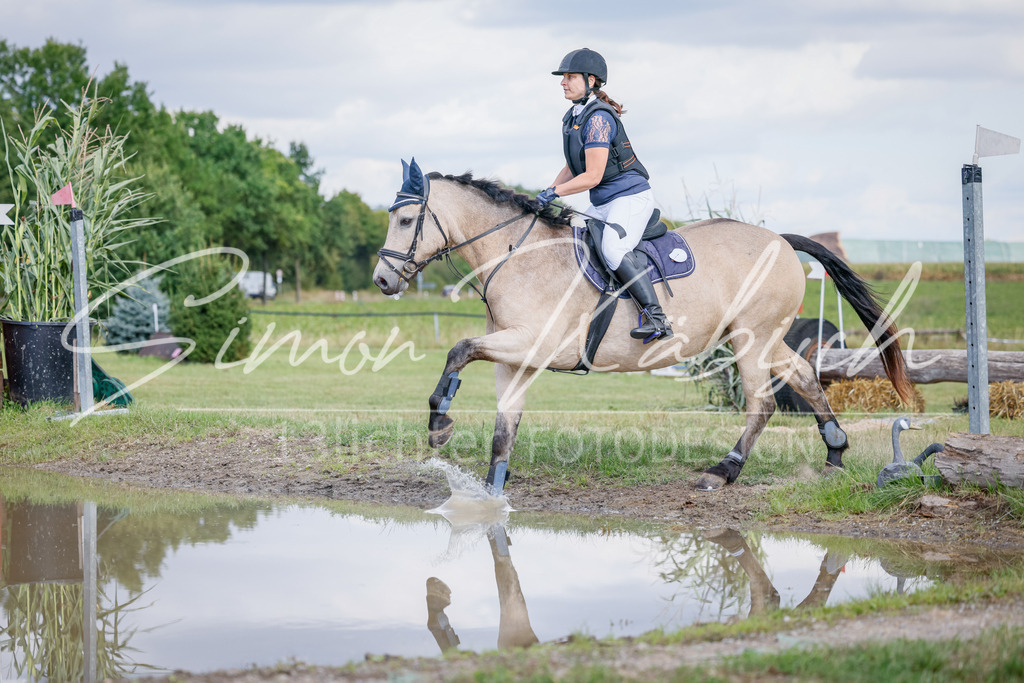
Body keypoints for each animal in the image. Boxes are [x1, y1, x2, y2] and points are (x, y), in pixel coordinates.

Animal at [373, 160, 914, 493]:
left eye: (406, 221)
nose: (381, 279)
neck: (516, 254)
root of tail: (781, 240)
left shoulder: (532, 344)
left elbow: (459, 349)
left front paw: (439, 423)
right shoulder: (514, 358)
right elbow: (503, 429)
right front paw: (491, 492)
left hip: (751, 340)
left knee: (761, 403)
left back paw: (723, 472)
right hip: (764, 337)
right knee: (804, 376)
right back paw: (834, 455)